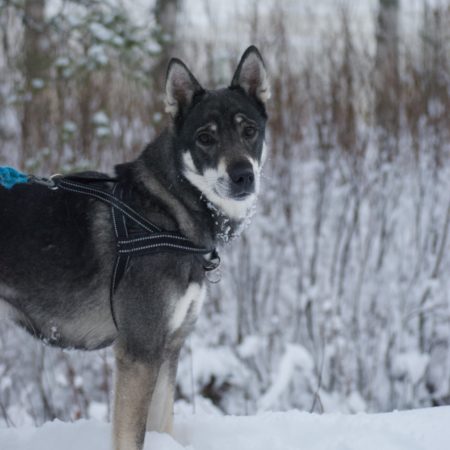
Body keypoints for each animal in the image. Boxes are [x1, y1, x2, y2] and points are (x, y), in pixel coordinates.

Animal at [0, 45, 269, 450]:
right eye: (205, 138)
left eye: (249, 131)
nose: (242, 176)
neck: (168, 211)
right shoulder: (139, 352)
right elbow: (130, 436)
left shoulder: (168, 348)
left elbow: (162, 425)